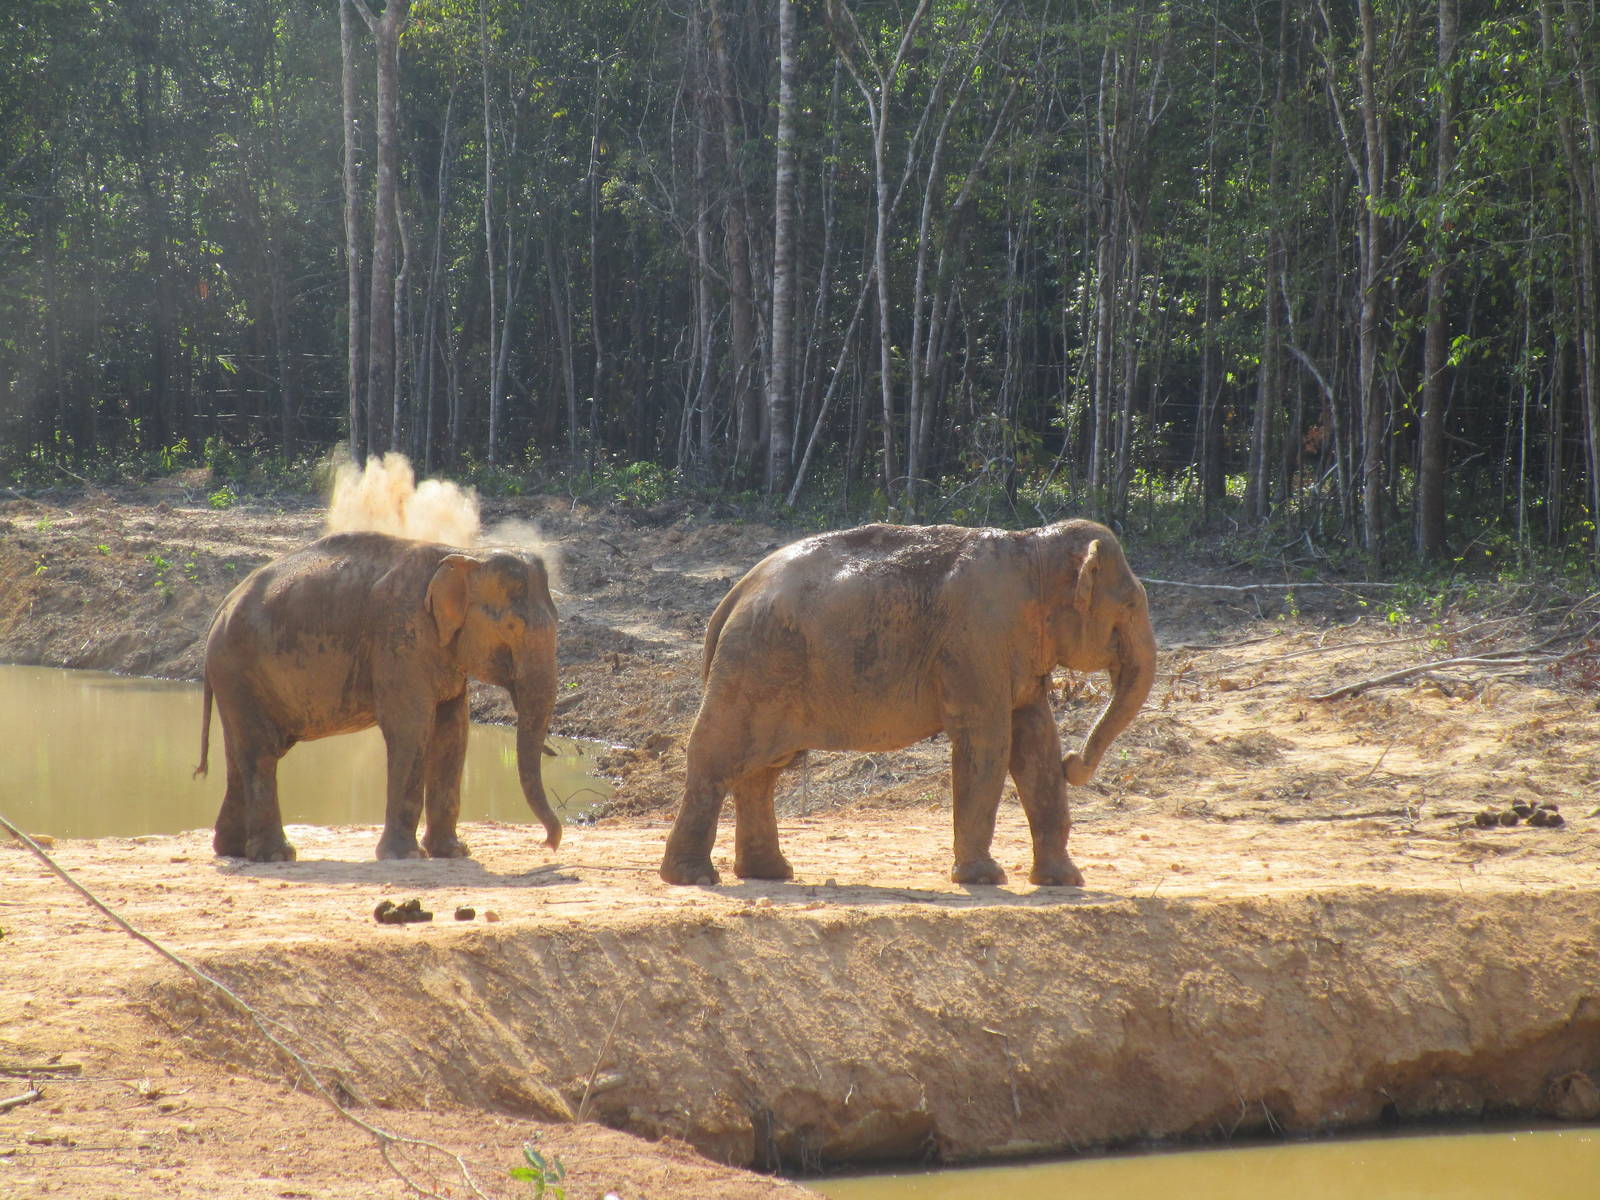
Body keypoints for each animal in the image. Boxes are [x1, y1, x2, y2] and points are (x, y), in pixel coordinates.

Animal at [195, 530, 561, 863]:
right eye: (513, 628)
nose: (549, 844)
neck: (464, 554)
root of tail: (219, 610)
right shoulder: (400, 635)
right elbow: (411, 728)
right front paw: (405, 857)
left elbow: (453, 731)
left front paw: (453, 853)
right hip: (237, 667)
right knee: (262, 752)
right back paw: (276, 856)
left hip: (236, 677)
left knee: (240, 753)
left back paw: (232, 850)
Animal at [659, 519, 1156, 887]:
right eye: (1131, 605)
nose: (1076, 762)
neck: (1030, 545)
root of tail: (736, 592)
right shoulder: (976, 640)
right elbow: (989, 741)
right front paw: (984, 878)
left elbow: (1035, 742)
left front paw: (1065, 881)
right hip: (756, 662)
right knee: (717, 757)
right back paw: (694, 879)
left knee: (762, 772)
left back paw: (769, 874)